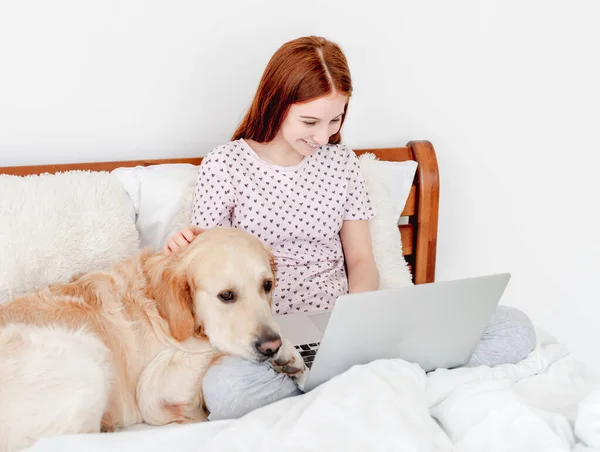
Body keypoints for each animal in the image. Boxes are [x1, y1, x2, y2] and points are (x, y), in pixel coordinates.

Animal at [0, 228, 308, 450]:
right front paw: (289, 353)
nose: (270, 346)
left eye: (267, 285)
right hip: (87, 353)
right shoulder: (153, 393)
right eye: (226, 295)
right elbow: (214, 346)